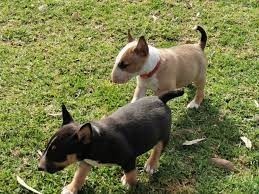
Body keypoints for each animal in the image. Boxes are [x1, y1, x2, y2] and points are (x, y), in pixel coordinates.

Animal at [38, 90, 185, 193]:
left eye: (58, 154)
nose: (39, 167)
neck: (96, 139)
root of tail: (160, 99)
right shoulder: (86, 162)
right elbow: (79, 175)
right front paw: (71, 189)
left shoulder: (128, 158)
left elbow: (131, 173)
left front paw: (130, 184)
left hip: (163, 135)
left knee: (158, 149)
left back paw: (151, 164)